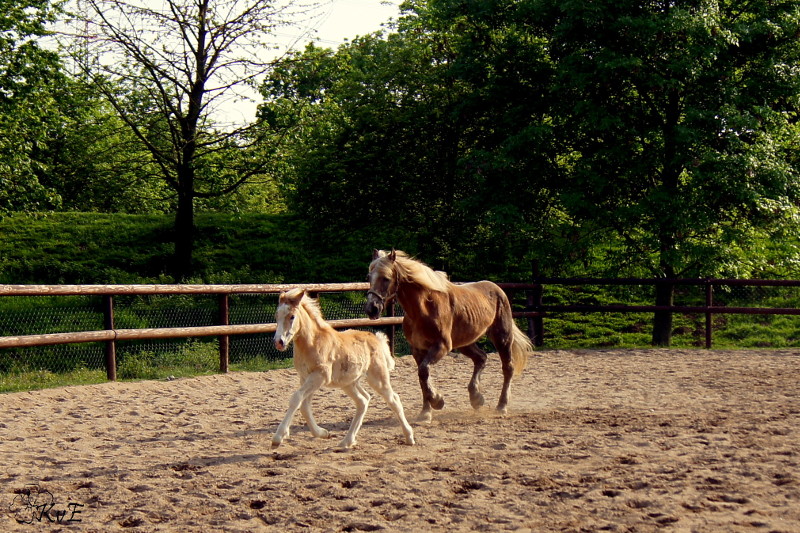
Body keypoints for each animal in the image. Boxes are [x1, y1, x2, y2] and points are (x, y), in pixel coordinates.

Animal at [272, 288, 415, 449]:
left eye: (292, 316)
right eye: (277, 315)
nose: (278, 342)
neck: (312, 343)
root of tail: (375, 338)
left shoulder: (319, 376)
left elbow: (296, 399)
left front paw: (278, 437)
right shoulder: (305, 377)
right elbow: (304, 406)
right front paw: (322, 433)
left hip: (377, 378)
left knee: (393, 400)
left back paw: (409, 437)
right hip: (348, 383)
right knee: (363, 400)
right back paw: (347, 441)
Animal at [365, 249, 534, 422]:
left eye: (386, 278)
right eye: (369, 277)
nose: (372, 309)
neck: (423, 308)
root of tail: (498, 290)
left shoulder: (442, 346)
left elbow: (424, 371)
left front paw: (437, 401)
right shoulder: (417, 349)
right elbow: (422, 376)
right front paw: (426, 412)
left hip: (502, 337)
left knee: (508, 368)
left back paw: (501, 406)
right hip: (465, 343)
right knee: (481, 358)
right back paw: (476, 398)